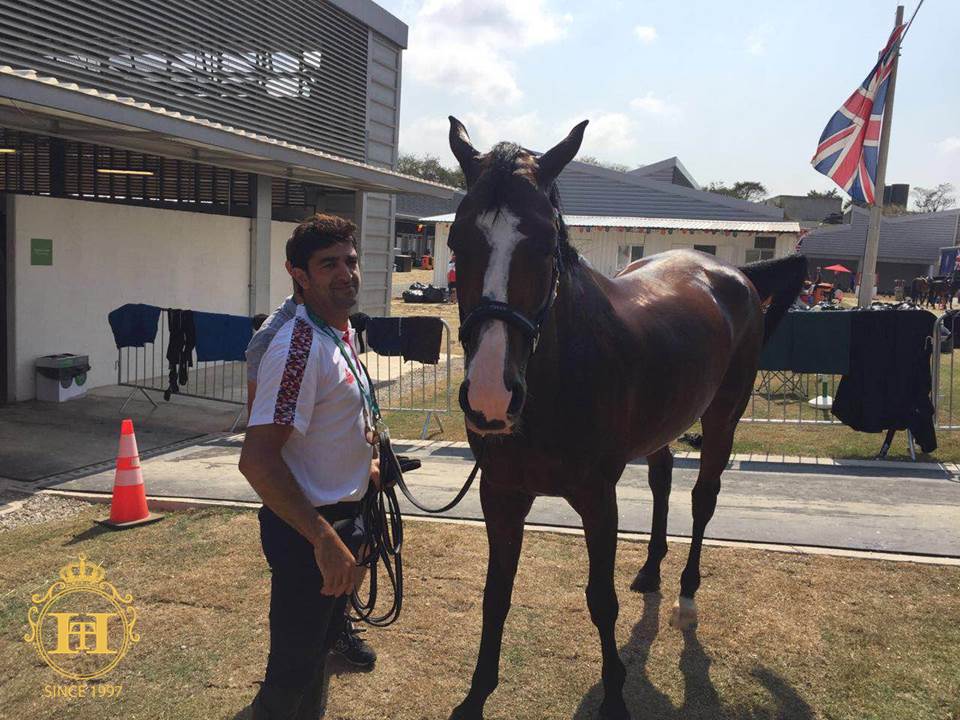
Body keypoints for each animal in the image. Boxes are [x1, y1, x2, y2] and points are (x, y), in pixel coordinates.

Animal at [445, 116, 807, 720]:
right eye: (455, 242)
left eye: (546, 244)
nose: (491, 398)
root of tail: (731, 272)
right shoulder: (501, 493)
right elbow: (496, 595)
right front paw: (475, 694)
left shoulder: (597, 497)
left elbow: (600, 599)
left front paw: (614, 692)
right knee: (662, 481)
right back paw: (652, 569)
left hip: (722, 420)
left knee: (702, 499)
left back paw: (686, 593)